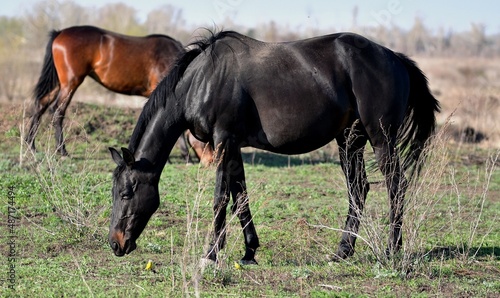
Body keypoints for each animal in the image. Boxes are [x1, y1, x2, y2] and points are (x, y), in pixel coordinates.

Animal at [26, 24, 212, 163]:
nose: (211, 161)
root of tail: (60, 33)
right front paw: (185, 157)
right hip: (71, 82)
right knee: (58, 111)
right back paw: (62, 151)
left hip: (60, 83)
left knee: (41, 105)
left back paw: (31, 145)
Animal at [107, 30, 440, 264]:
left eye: (126, 193)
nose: (115, 244)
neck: (202, 80)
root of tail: (395, 57)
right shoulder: (233, 146)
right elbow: (240, 196)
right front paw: (249, 252)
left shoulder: (223, 140)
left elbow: (220, 198)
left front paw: (211, 253)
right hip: (349, 142)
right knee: (358, 189)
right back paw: (342, 251)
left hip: (381, 140)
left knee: (396, 185)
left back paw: (392, 250)